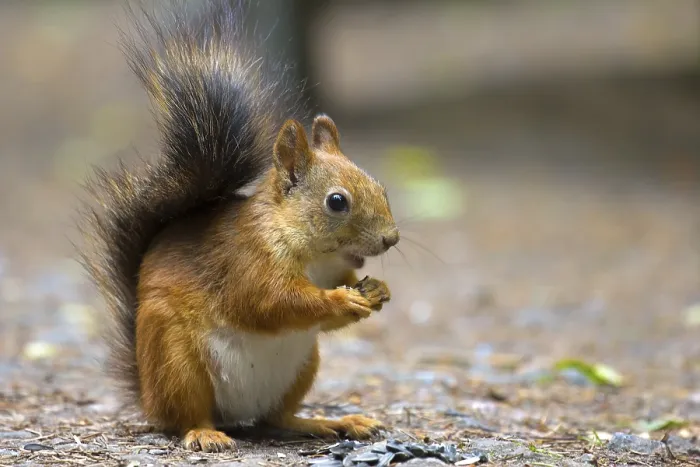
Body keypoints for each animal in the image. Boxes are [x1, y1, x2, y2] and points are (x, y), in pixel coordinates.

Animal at [79, 0, 399, 453]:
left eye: (379, 186)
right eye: (337, 202)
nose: (392, 238)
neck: (313, 254)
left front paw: (377, 291)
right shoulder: (245, 261)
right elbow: (272, 303)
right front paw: (342, 299)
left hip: (302, 364)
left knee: (277, 418)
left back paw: (329, 421)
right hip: (176, 360)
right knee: (187, 416)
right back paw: (205, 433)